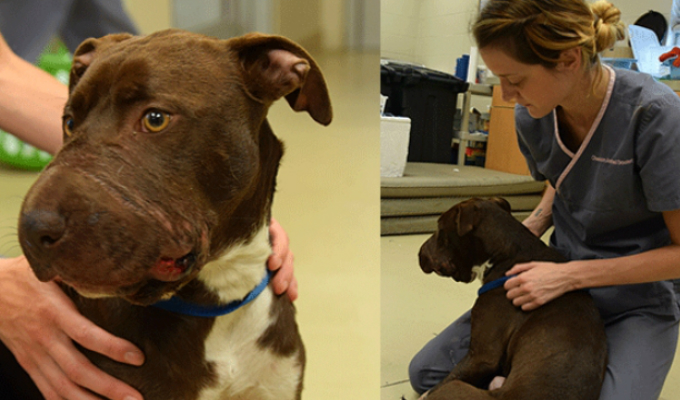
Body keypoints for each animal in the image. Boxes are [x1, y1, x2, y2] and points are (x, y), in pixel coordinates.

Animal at [418, 198, 607, 400]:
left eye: (440, 228)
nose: (419, 253)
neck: (506, 255)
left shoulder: (481, 357)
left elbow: (436, 387)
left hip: (458, 387)